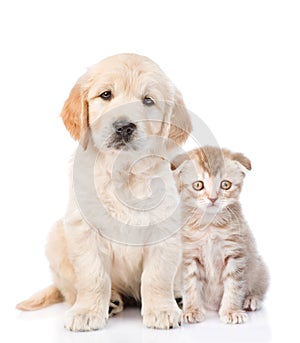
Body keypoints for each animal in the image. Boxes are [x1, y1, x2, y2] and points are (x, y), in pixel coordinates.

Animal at [17, 54, 192, 334]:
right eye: (106, 94)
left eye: (148, 100)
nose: (124, 127)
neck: (123, 173)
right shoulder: (85, 229)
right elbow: (93, 276)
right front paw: (87, 312)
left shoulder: (164, 230)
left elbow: (157, 276)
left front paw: (162, 310)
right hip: (57, 236)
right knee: (69, 290)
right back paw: (109, 301)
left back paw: (177, 298)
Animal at [172, 147, 268, 326]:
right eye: (198, 185)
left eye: (225, 184)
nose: (213, 198)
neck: (210, 225)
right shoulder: (189, 255)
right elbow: (190, 284)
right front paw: (191, 310)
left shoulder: (235, 253)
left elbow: (233, 285)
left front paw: (231, 311)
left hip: (259, 267)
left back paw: (251, 299)